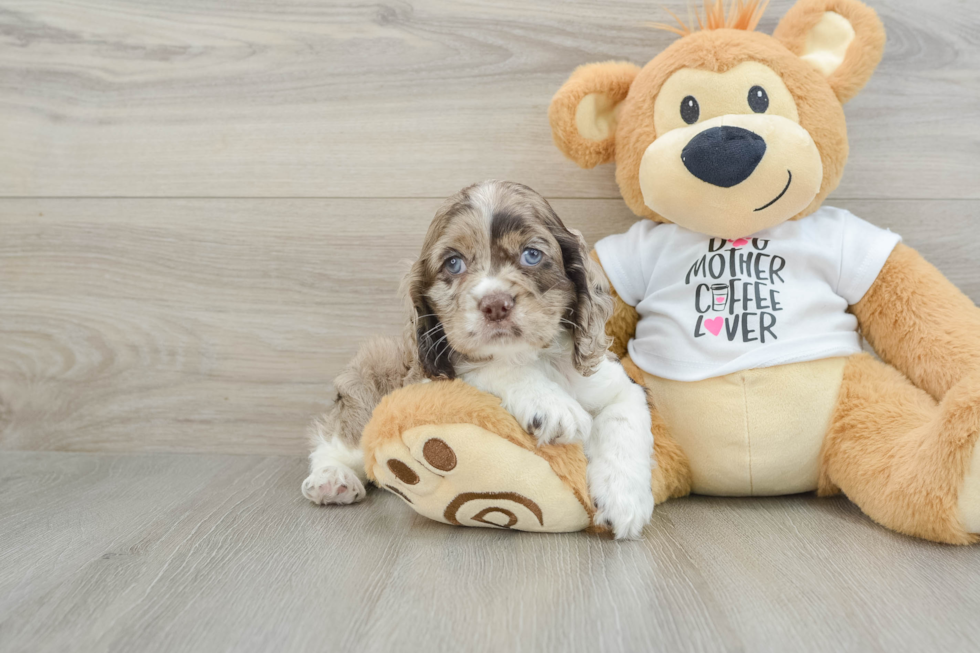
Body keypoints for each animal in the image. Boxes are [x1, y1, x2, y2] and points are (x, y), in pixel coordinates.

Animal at [302, 180, 656, 540]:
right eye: (453, 263)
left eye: (532, 255)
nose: (495, 304)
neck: (531, 354)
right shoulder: (437, 373)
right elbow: (494, 366)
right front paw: (552, 406)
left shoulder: (618, 385)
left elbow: (625, 423)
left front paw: (624, 501)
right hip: (373, 375)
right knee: (337, 438)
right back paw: (332, 478)